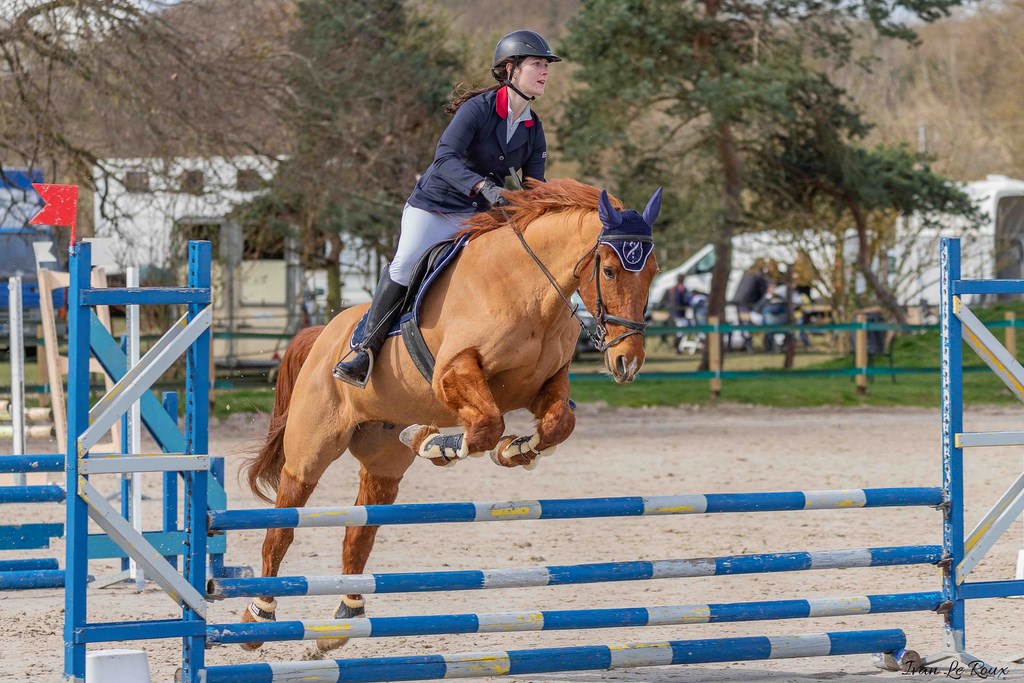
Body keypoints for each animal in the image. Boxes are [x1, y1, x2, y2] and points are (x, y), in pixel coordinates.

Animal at [238, 179, 659, 655]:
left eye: (653, 271)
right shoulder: (454, 371)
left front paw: (517, 450)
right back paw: (259, 616)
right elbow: (486, 425)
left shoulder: (542, 385)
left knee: (360, 530)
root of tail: (322, 335)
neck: (529, 289)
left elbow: (555, 424)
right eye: (608, 271)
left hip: (382, 463)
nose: (627, 362)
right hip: (309, 452)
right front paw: (435, 443)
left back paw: (346, 615)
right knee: (282, 529)